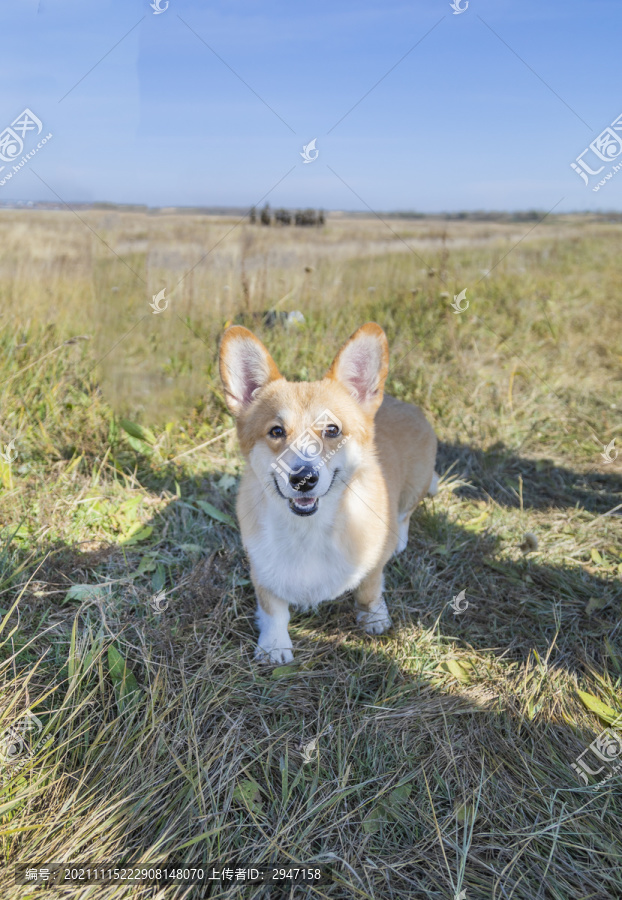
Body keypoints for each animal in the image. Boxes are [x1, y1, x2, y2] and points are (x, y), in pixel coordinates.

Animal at [219, 322, 438, 660]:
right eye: (276, 431)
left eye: (332, 429)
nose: (303, 479)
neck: (310, 529)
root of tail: (404, 404)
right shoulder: (261, 568)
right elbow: (273, 608)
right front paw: (274, 645)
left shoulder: (373, 564)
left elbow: (369, 588)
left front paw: (374, 618)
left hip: (417, 484)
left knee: (405, 514)